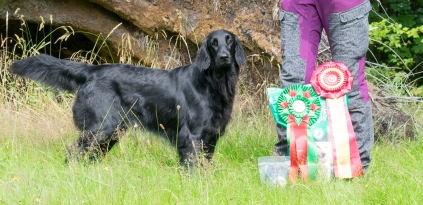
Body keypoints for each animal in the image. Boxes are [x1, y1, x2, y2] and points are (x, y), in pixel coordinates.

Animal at [9, 29, 247, 166]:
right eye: (214, 43)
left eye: (229, 41)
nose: (224, 57)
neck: (213, 83)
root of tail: (92, 70)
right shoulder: (193, 136)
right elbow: (194, 166)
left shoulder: (211, 135)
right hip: (100, 128)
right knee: (73, 153)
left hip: (110, 132)